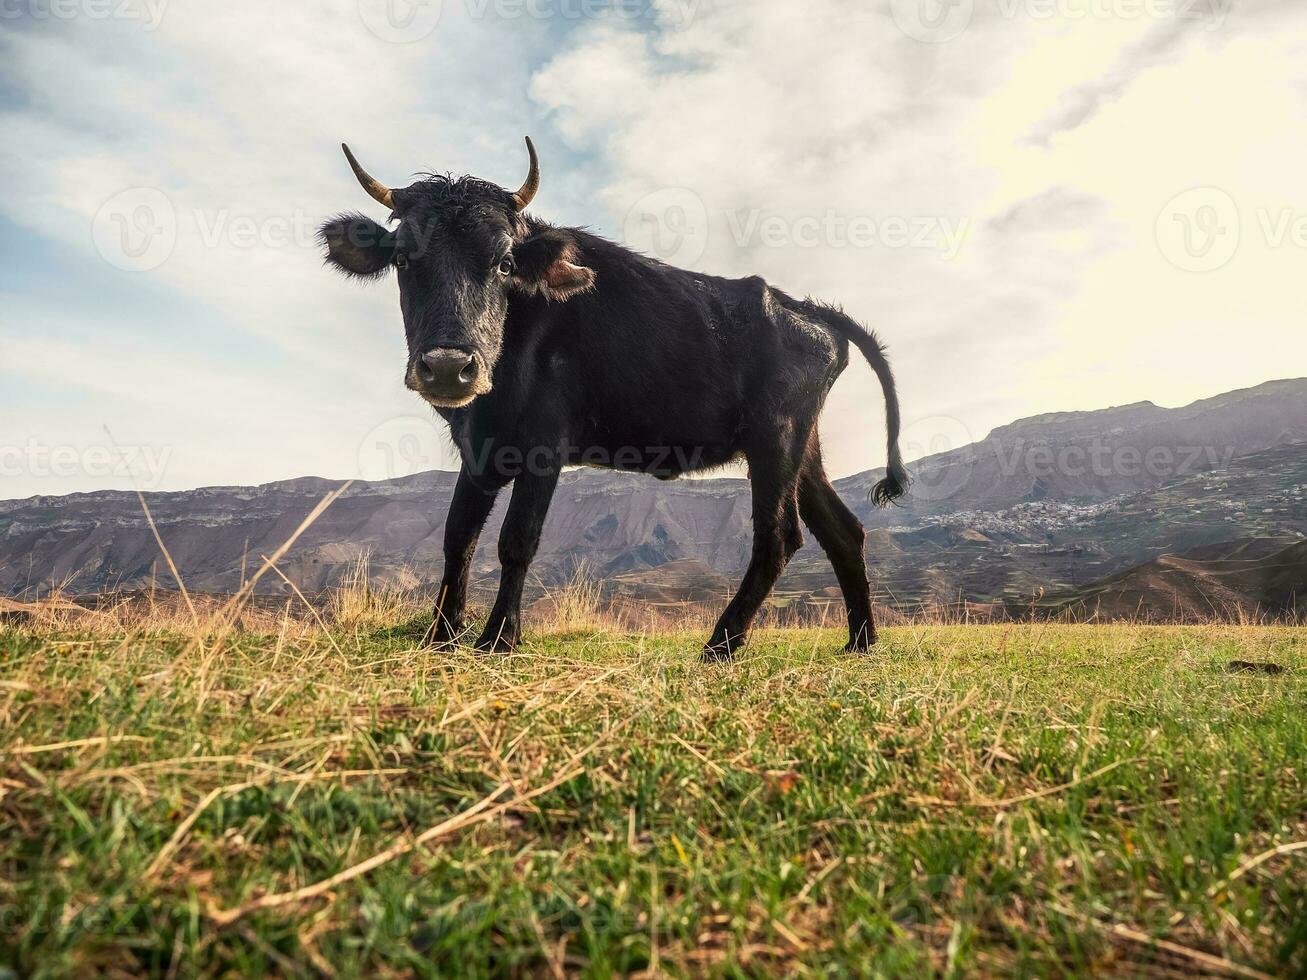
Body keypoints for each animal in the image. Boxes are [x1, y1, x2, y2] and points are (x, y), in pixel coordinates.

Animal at [320, 139, 904, 661]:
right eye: (402, 259)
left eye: (505, 263)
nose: (447, 366)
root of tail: (803, 307)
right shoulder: (479, 450)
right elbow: (457, 537)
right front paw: (440, 636)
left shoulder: (545, 445)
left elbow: (517, 539)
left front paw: (498, 639)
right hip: (803, 446)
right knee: (843, 532)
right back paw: (860, 641)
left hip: (775, 439)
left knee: (779, 536)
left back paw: (722, 642)